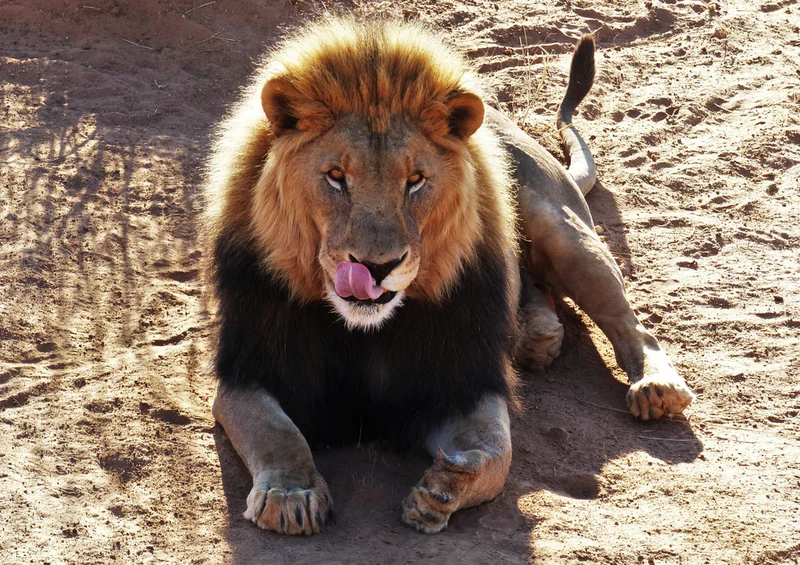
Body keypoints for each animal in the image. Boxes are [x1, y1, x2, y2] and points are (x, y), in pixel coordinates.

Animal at [205, 19, 695, 535]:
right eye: (336, 176)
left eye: (415, 180)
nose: (376, 267)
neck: (361, 330)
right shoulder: (247, 373)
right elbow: (276, 431)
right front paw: (290, 495)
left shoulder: (463, 381)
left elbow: (497, 452)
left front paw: (444, 488)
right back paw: (536, 335)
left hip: (565, 234)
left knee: (631, 323)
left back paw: (655, 386)